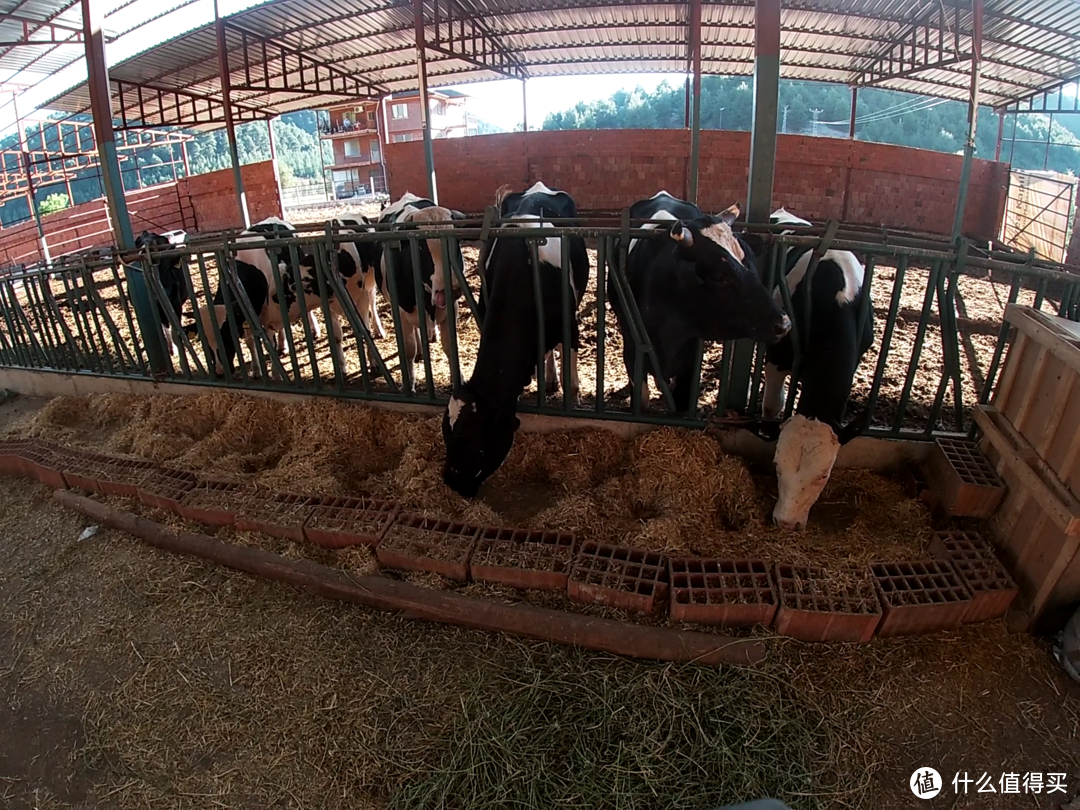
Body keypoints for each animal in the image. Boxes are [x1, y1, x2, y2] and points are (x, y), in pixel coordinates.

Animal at [137, 226, 192, 356]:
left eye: (168, 268)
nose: (166, 291)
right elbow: (165, 327)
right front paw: (171, 350)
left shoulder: (176, 304)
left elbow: (175, 326)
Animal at [375, 192, 464, 390]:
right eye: (421, 248)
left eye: (456, 242)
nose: (453, 288)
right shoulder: (400, 311)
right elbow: (408, 349)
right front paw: (409, 385)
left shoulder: (451, 309)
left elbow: (450, 346)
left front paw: (459, 380)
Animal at [440, 184, 591, 501]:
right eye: (446, 435)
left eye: (477, 446)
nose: (452, 482)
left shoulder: (570, 325)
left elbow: (570, 376)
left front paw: (574, 398)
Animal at [613, 193, 790, 414]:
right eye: (719, 276)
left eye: (752, 264)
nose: (784, 324)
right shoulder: (631, 348)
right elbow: (642, 402)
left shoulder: (690, 359)